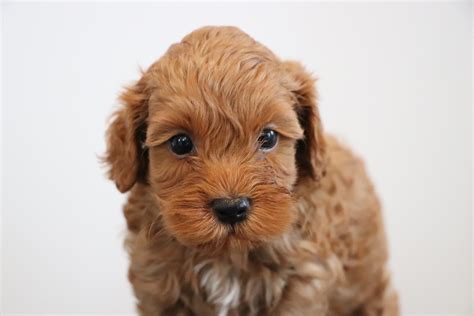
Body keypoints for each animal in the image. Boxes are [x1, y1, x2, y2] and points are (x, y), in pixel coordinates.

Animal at [103, 27, 396, 316]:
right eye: (180, 143)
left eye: (268, 137)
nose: (231, 208)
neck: (226, 257)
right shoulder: (156, 280)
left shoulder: (304, 277)